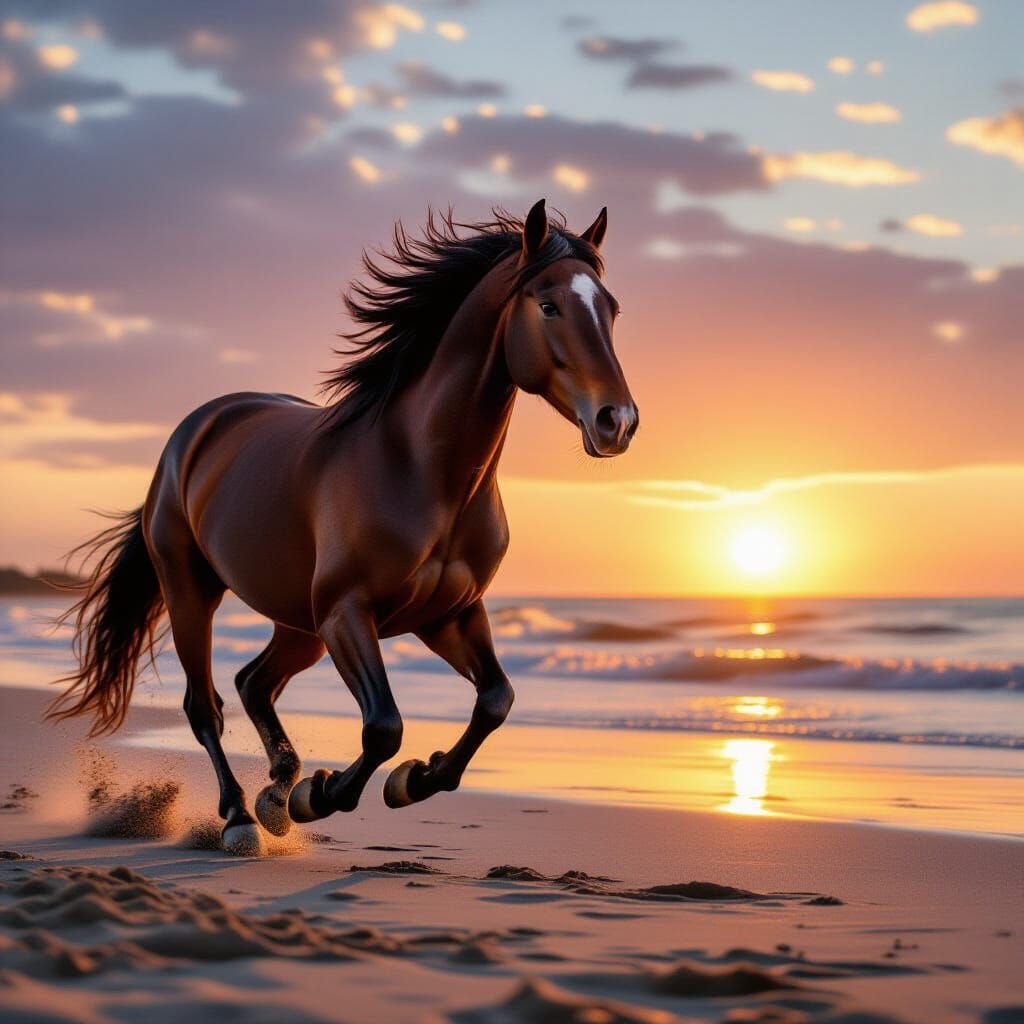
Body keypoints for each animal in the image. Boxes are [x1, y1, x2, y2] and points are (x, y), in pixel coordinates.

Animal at [48, 199, 639, 855]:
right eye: (549, 305)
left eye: (611, 309)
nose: (617, 421)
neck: (420, 469)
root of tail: (198, 427)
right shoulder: (348, 612)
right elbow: (384, 726)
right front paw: (323, 795)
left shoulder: (449, 614)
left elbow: (495, 700)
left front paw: (411, 779)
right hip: (192, 590)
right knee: (206, 705)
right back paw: (241, 817)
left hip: (298, 623)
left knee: (254, 682)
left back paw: (276, 792)